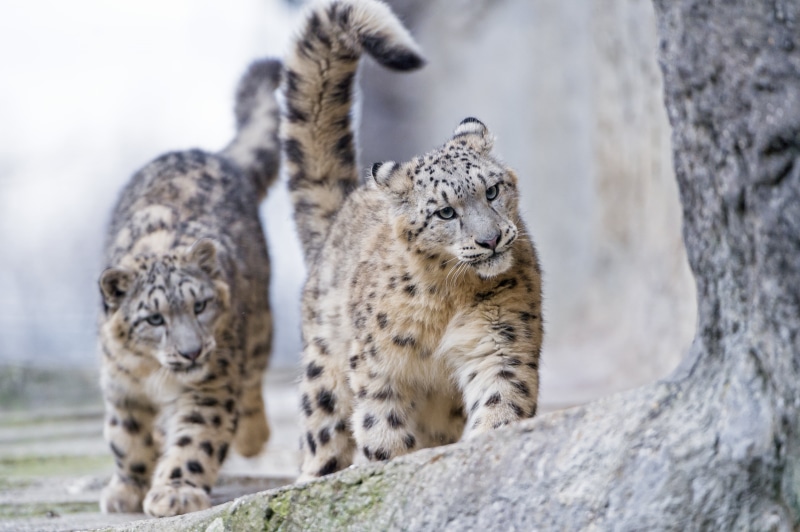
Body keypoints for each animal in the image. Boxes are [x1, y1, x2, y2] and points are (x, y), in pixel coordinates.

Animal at [98, 58, 282, 517]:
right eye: (153, 318)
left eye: (200, 306)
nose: (192, 352)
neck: (154, 374)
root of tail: (210, 153)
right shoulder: (120, 387)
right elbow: (125, 438)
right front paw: (125, 489)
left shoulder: (210, 387)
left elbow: (195, 439)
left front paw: (175, 491)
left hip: (257, 328)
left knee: (253, 379)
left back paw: (252, 437)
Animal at [281, 0, 543, 481]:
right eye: (445, 212)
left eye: (492, 190)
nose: (491, 239)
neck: (448, 302)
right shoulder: (377, 367)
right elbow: (381, 427)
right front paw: (390, 466)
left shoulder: (501, 339)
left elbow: (501, 398)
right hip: (324, 370)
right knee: (322, 431)